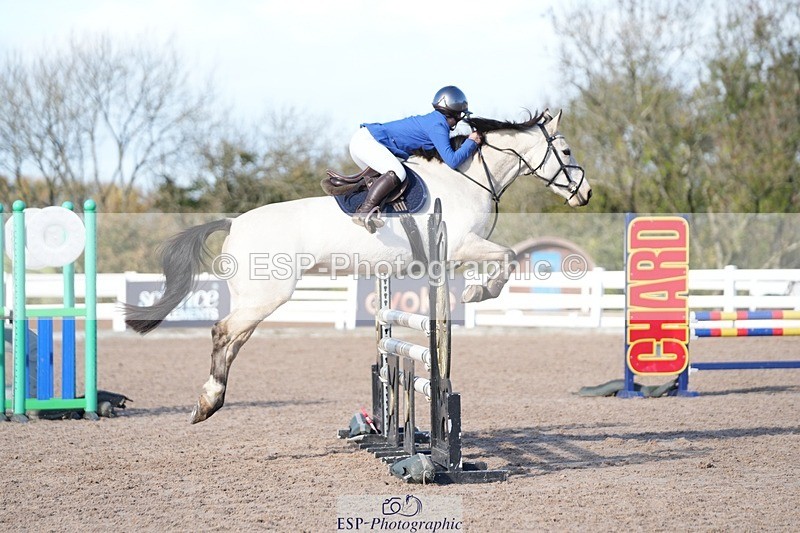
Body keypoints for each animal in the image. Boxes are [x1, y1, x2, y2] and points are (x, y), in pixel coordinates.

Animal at [124, 109, 592, 423]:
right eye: (566, 150)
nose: (585, 194)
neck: (467, 179)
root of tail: (234, 221)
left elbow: (503, 258)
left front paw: (479, 289)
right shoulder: (460, 245)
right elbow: (507, 256)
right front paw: (480, 291)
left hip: (254, 297)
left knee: (233, 339)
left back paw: (208, 401)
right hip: (267, 295)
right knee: (222, 332)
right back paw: (209, 401)